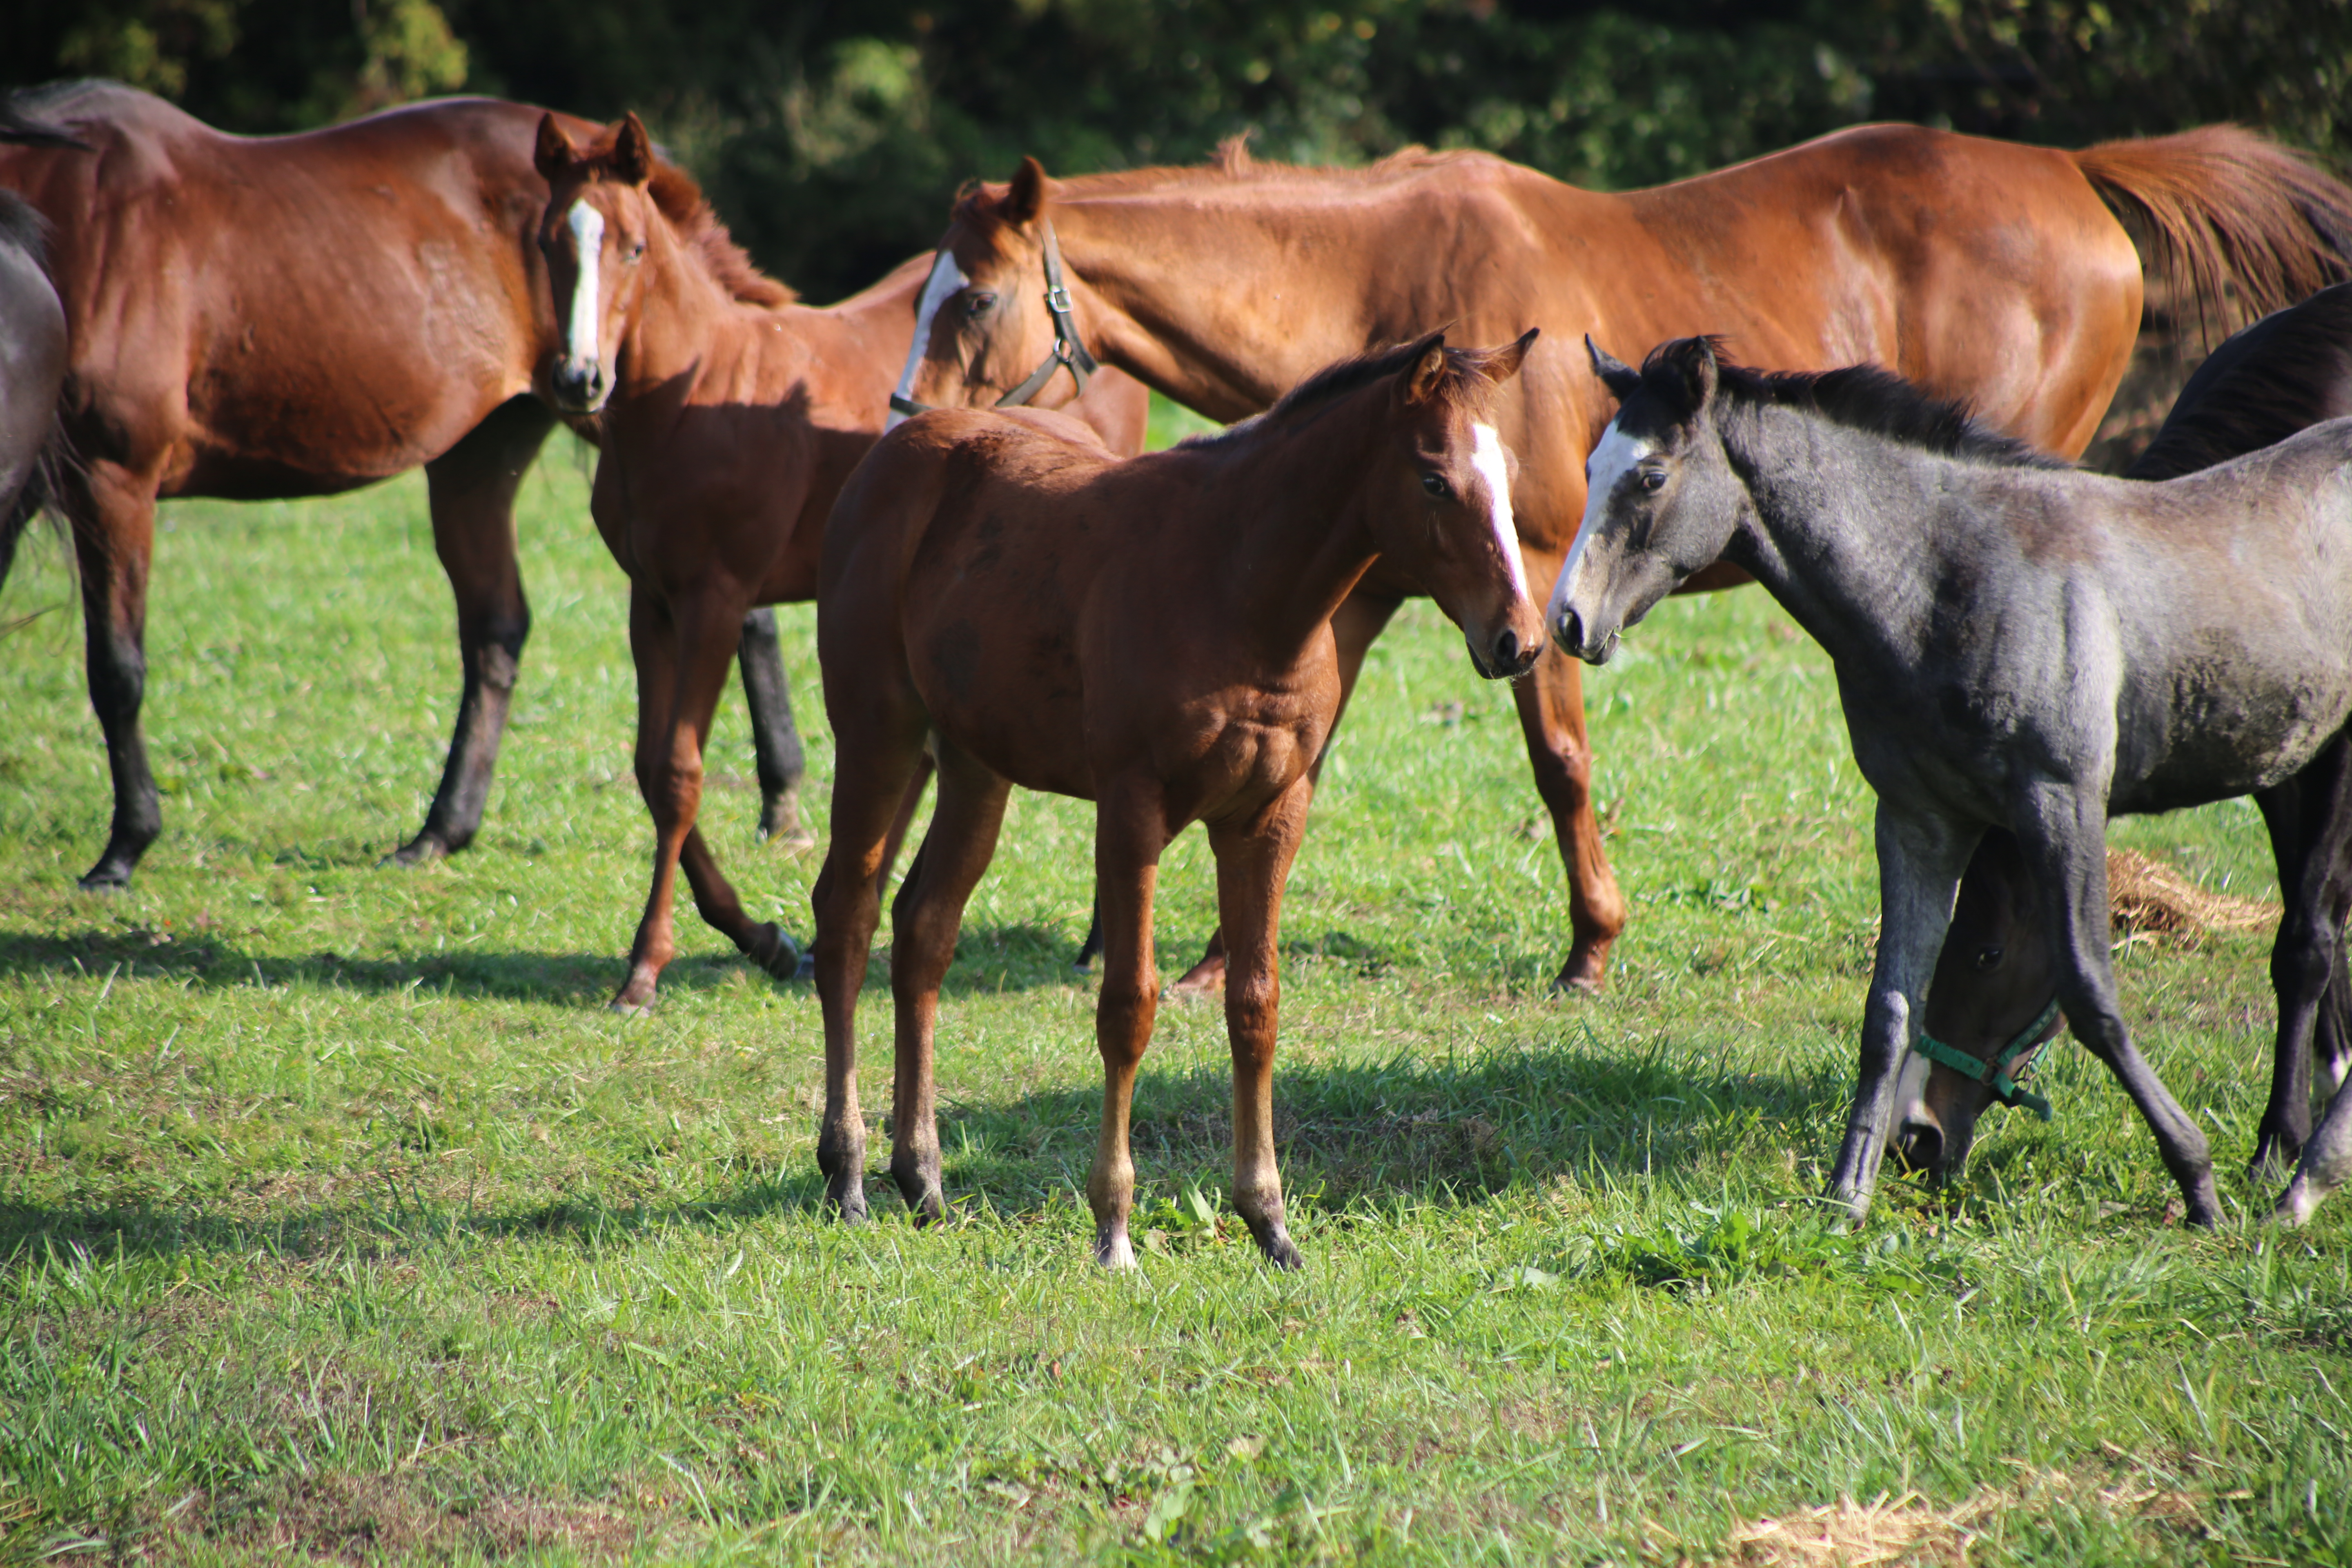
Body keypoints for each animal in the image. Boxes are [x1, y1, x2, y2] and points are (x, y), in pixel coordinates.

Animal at [0, 82, 809, 884]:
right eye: (547, 246)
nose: (581, 375)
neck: (80, 223)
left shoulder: (114, 478)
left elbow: (117, 669)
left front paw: (125, 848)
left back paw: (783, 808)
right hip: (478, 457)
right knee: (497, 631)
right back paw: (442, 832)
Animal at [536, 116, 1157, 1011]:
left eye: (632, 247)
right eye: (548, 242)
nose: (580, 378)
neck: (691, 394)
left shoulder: (715, 598)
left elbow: (680, 772)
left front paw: (648, 966)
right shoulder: (648, 601)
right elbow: (652, 770)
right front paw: (762, 938)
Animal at [809, 334, 1543, 1278]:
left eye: (1511, 472)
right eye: (1434, 480)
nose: (1519, 640)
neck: (1240, 594)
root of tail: (890, 452)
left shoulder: (1269, 817)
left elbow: (1256, 1006)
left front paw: (1270, 1222)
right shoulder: (1133, 811)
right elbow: (1129, 1008)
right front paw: (1114, 1229)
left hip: (977, 764)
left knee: (924, 928)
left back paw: (924, 1178)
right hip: (879, 734)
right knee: (849, 915)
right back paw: (849, 1174)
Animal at [893, 126, 2352, 992]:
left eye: (972, 298)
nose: (909, 419)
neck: (1381, 284)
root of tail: (2066, 164)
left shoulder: (1535, 577)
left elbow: (1560, 762)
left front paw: (1591, 947)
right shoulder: (1367, 589)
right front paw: (1209, 957)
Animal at [1552, 339, 2352, 1232]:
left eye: (1651, 477)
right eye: (1589, 468)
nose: (1568, 622)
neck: (1947, 582)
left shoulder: (2060, 803)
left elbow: (2091, 993)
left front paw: (2197, 1182)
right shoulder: (1918, 820)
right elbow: (1889, 1008)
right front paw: (1846, 1197)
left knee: (2308, 946)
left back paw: (2294, 1170)